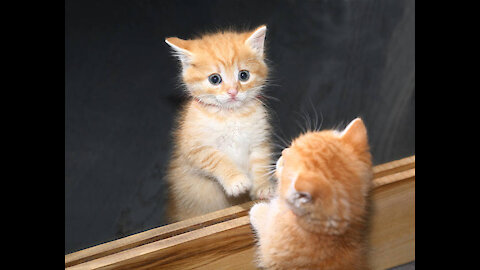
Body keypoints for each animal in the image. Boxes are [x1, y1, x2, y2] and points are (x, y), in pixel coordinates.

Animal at [165, 26, 276, 223]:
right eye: (214, 79)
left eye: (244, 75)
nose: (233, 92)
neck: (231, 116)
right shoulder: (195, 147)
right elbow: (218, 160)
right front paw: (236, 180)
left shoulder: (259, 141)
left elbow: (261, 162)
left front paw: (263, 186)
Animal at [249, 118, 374, 270]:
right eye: (292, 146)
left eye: (285, 164)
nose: (284, 152)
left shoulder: (273, 249)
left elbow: (265, 229)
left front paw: (258, 210)